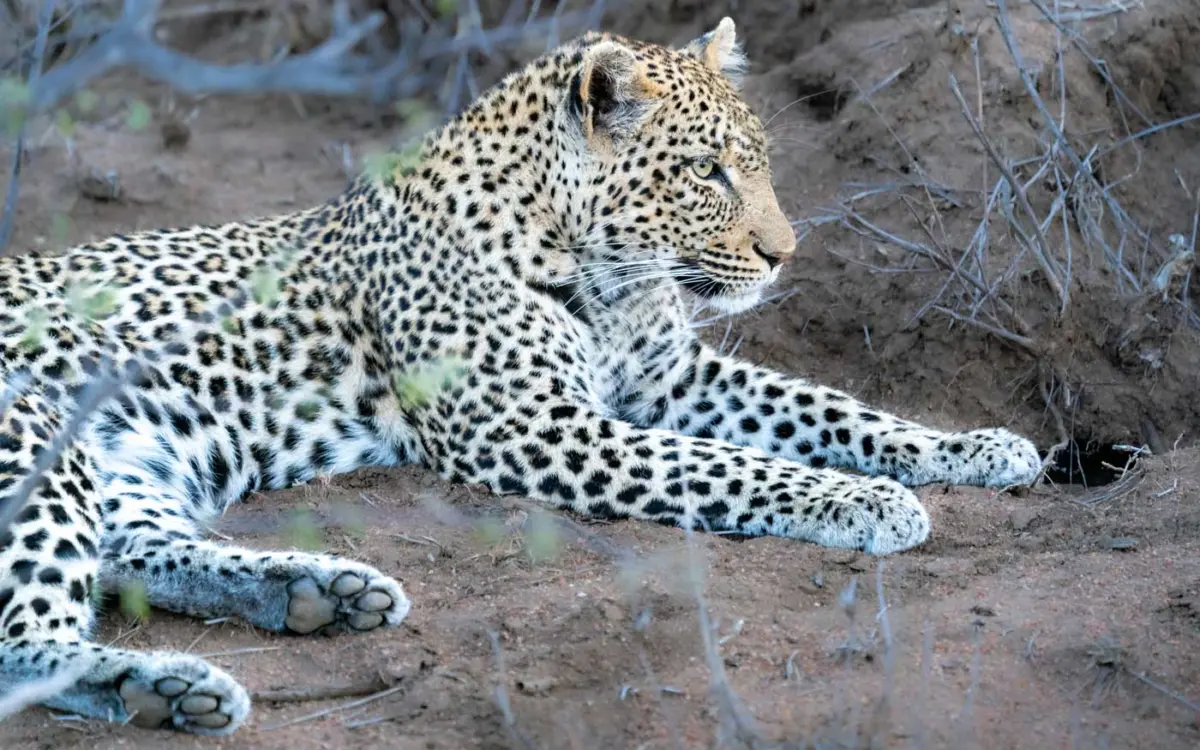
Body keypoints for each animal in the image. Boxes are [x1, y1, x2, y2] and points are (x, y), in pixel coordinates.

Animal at [0, 16, 1041, 729]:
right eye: (706, 173)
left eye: (756, 164)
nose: (785, 256)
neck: (606, 270)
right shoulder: (534, 427)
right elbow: (731, 465)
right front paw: (864, 501)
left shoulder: (672, 377)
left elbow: (832, 408)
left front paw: (977, 449)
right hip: (36, 437)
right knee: (25, 644)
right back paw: (174, 685)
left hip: (127, 466)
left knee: (126, 558)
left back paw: (313, 598)